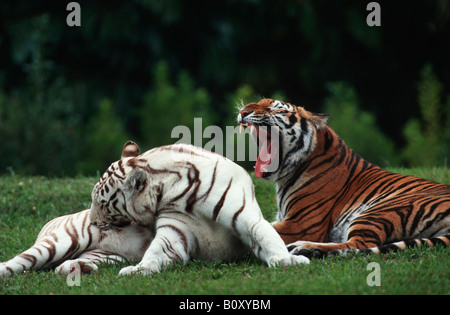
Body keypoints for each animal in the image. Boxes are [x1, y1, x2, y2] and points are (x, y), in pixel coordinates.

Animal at [91, 141, 310, 276]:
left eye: (102, 204)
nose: (93, 221)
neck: (170, 188)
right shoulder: (176, 228)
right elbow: (157, 249)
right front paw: (140, 269)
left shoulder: (244, 215)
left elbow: (266, 236)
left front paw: (286, 260)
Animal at [237, 98, 450, 256]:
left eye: (274, 108)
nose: (243, 112)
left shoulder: (301, 223)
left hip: (381, 210)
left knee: (359, 244)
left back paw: (305, 248)